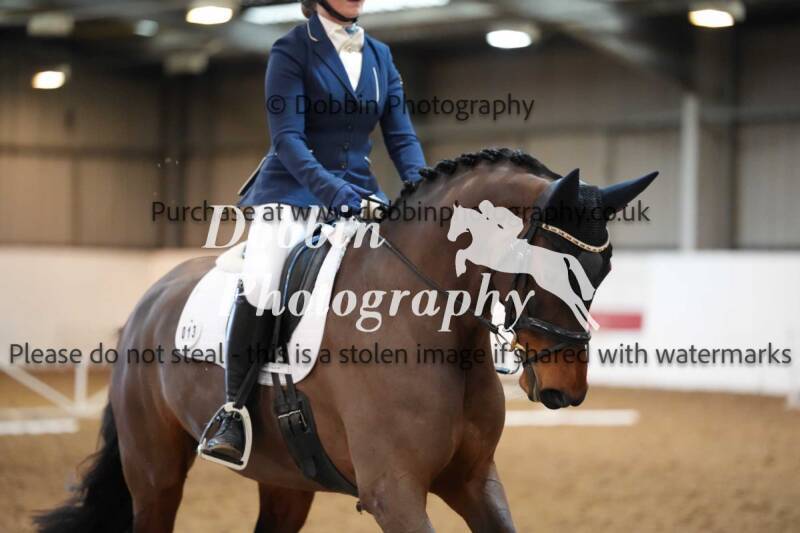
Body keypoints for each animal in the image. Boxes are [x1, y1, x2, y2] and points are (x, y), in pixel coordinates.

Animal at [35, 148, 656, 533]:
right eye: (549, 270)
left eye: (601, 272)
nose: (565, 390)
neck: (431, 328)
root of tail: (151, 297)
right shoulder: (393, 493)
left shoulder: (474, 481)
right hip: (155, 473)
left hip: (285, 479)